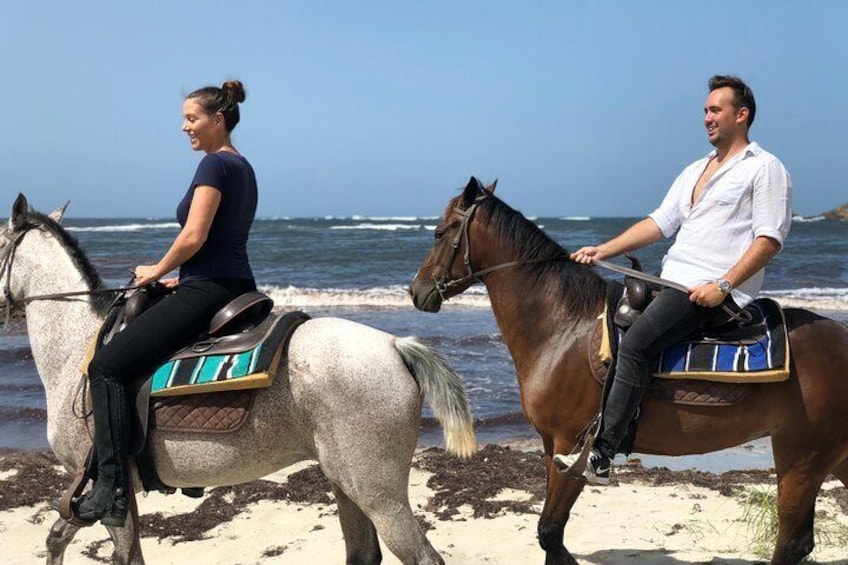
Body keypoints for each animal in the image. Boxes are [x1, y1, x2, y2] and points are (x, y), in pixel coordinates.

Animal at [0, 195, 476, 564]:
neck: (77, 349)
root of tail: (396, 345)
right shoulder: (103, 497)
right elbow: (57, 537)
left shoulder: (107, 493)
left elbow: (121, 554)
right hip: (346, 482)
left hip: (379, 493)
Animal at [410, 177, 848, 564]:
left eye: (440, 232)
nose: (416, 291)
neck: (563, 327)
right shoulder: (553, 449)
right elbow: (551, 537)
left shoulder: (572, 448)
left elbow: (549, 533)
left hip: (802, 457)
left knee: (792, 542)